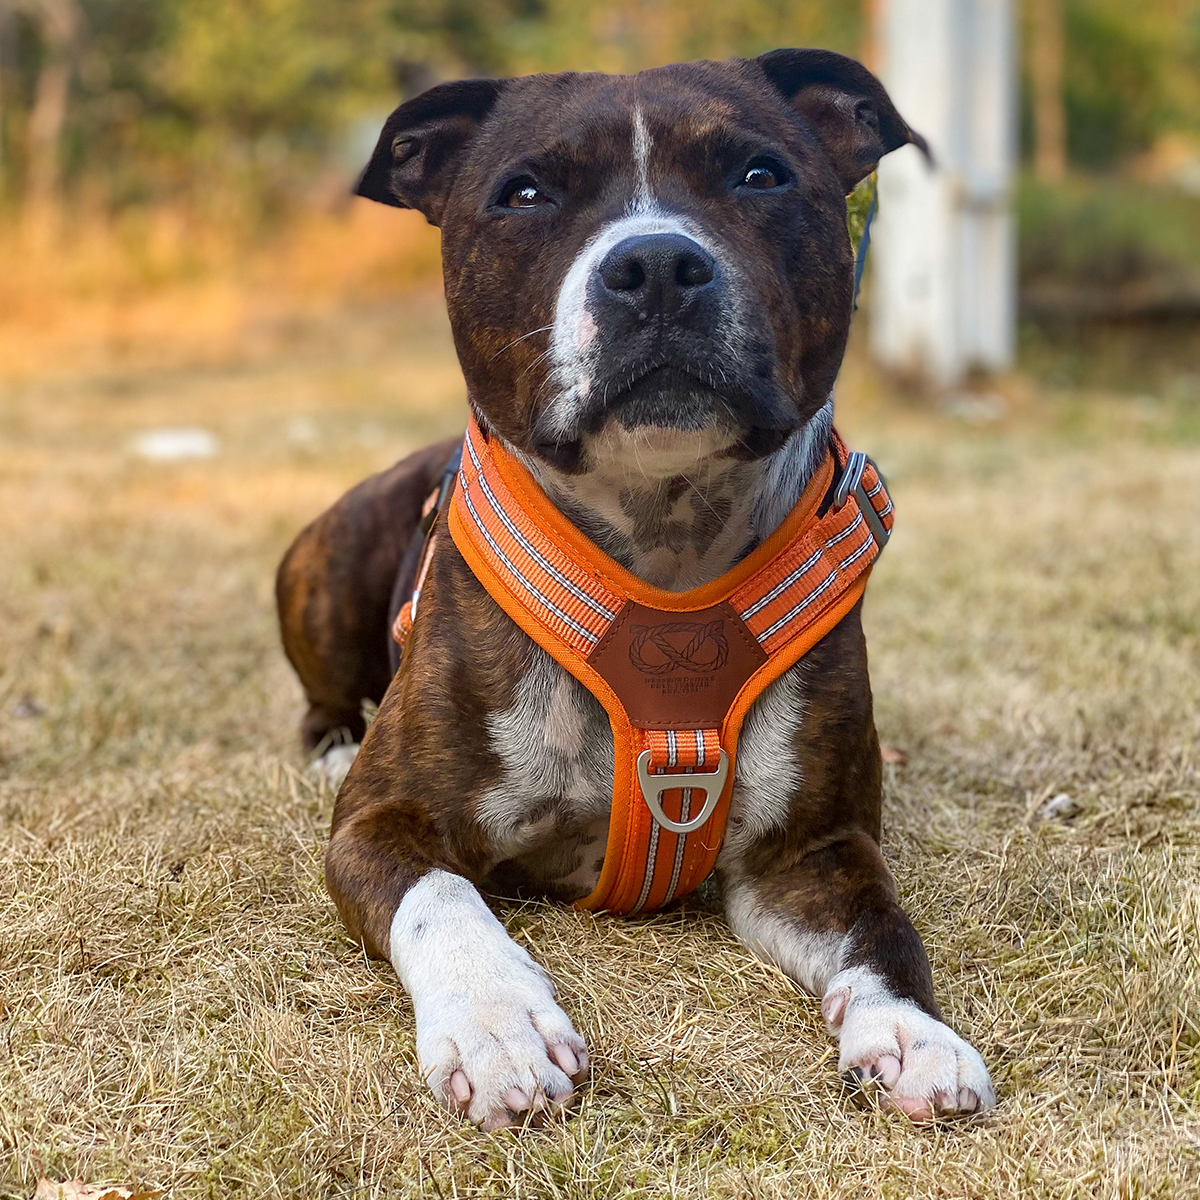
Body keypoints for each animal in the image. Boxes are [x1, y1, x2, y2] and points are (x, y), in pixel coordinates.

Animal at [278, 49, 993, 1132]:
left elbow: (882, 932)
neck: (661, 553)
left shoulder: (808, 854)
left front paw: (913, 1031)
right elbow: (442, 900)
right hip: (323, 558)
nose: (655, 265)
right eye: (525, 192)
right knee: (321, 701)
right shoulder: (381, 821)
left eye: (759, 175)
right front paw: (497, 1026)